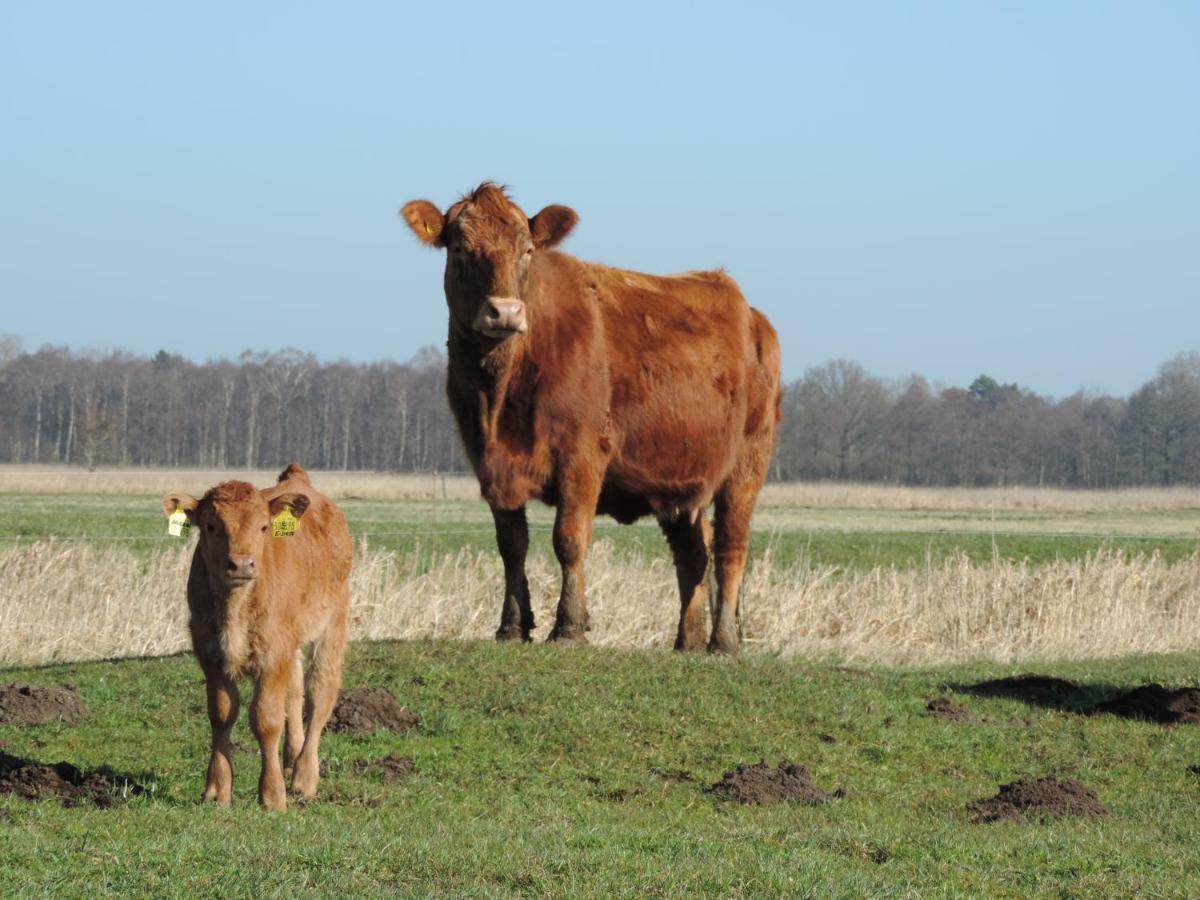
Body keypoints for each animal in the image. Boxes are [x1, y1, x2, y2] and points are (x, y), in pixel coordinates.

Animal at [159, 465, 350, 811]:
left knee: (320, 695)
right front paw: (217, 789)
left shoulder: (274, 653)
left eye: (263, 527)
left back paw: (304, 777)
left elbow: (266, 718)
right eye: (211, 526)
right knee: (295, 692)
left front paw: (272, 795)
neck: (235, 608)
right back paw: (291, 762)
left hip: (332, 625)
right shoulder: (209, 652)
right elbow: (222, 714)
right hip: (293, 643)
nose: (241, 564)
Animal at [398, 181, 782, 657]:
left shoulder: (581, 455)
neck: (499, 394)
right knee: (693, 555)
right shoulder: (488, 462)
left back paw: (723, 641)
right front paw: (512, 625)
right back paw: (687, 642)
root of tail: (753, 316)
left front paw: (569, 626)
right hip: (678, 477)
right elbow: (511, 545)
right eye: (460, 250)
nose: (505, 311)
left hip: (748, 462)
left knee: (731, 547)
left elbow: (569, 538)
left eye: (527, 251)